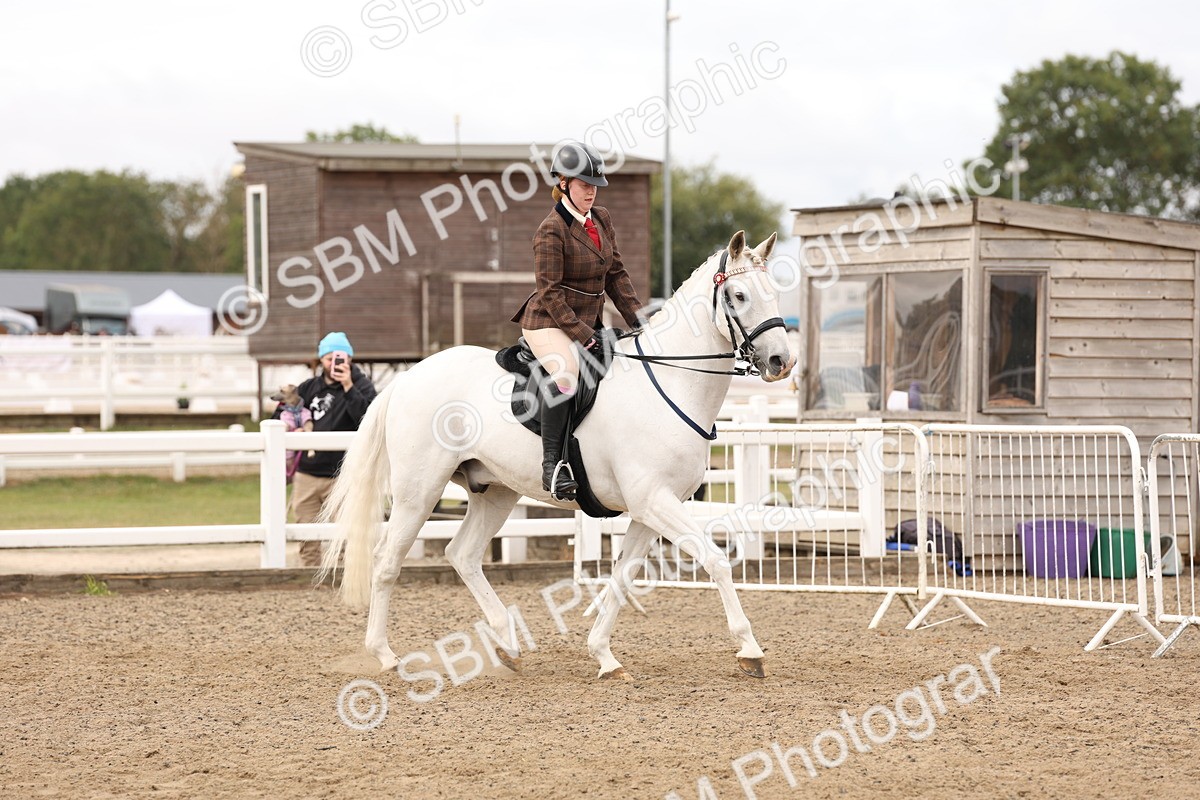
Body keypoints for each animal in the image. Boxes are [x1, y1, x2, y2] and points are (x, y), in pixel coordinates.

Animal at [319, 230, 795, 680]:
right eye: (739, 295)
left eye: (773, 290)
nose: (780, 362)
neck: (669, 382)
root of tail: (408, 376)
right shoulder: (654, 501)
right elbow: (716, 561)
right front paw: (749, 651)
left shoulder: (651, 509)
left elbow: (622, 576)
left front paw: (604, 656)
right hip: (419, 491)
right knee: (387, 562)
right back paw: (385, 655)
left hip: (495, 491)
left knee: (463, 555)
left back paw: (507, 646)